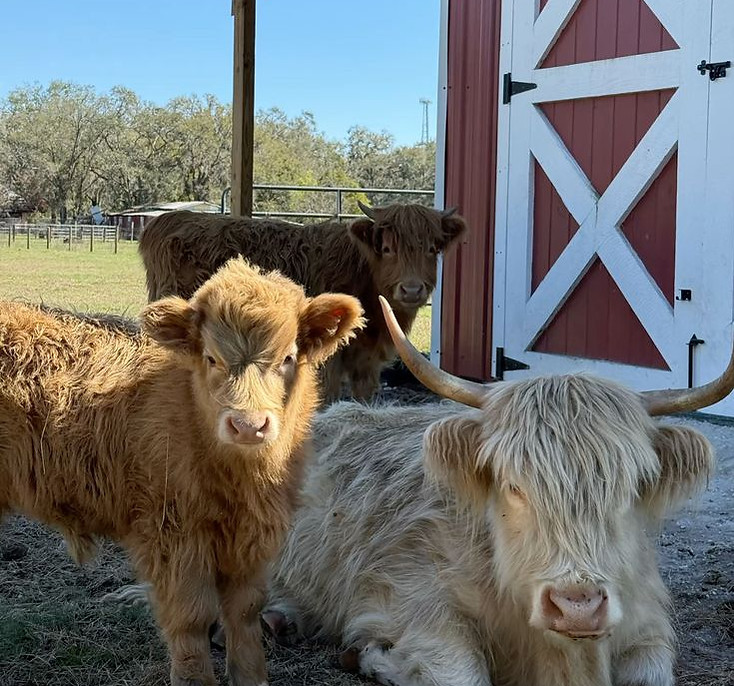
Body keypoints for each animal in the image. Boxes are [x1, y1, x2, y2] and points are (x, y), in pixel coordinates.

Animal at [0, 257, 363, 686]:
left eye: (287, 358)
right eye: (211, 358)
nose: (248, 426)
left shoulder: (253, 538)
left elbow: (245, 611)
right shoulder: (173, 536)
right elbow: (193, 619)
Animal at [138, 202, 466, 403]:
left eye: (432, 249)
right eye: (387, 249)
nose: (411, 290)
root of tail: (168, 220)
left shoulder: (367, 364)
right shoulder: (326, 364)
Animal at [260, 298, 727, 686]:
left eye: (630, 487)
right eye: (513, 486)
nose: (576, 606)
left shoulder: (647, 625)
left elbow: (651, 673)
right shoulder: (409, 597)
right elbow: (462, 674)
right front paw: (372, 657)